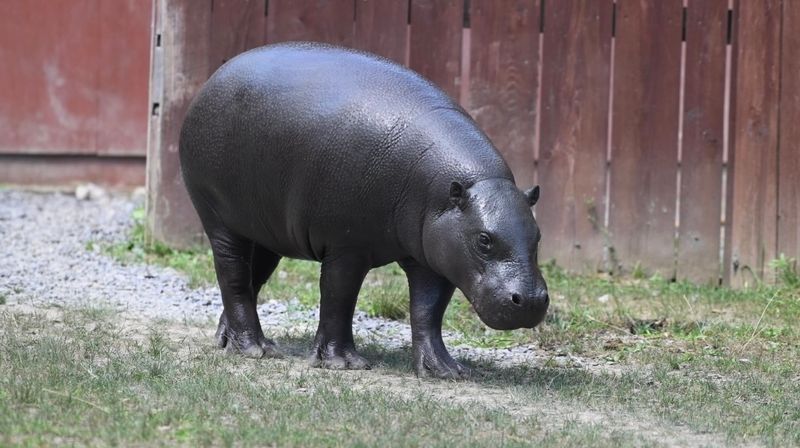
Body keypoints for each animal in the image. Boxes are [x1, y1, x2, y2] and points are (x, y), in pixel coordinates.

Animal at [179, 42, 549, 379]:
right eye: (484, 239)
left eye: (538, 235)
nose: (531, 300)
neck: (449, 191)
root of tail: (216, 75)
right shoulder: (347, 246)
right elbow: (339, 298)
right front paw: (343, 363)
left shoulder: (436, 256)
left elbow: (429, 310)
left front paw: (446, 369)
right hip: (219, 217)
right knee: (233, 276)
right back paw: (255, 349)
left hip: (267, 230)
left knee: (252, 278)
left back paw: (230, 341)